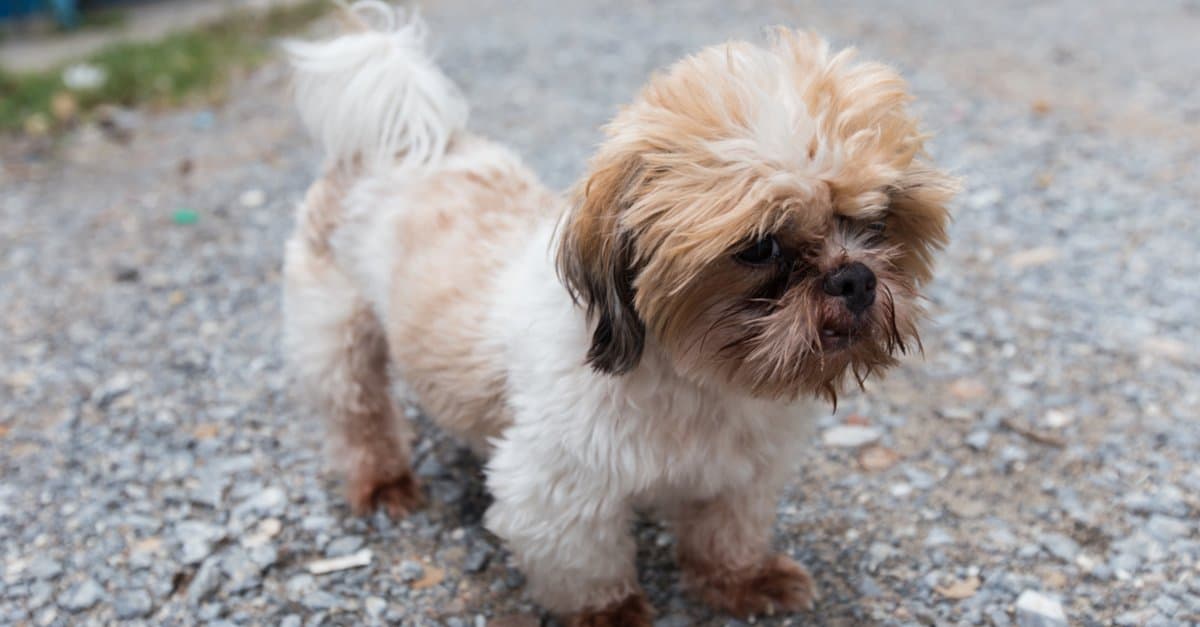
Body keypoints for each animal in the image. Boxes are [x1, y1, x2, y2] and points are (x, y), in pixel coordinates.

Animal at [280, 3, 955, 619]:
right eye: (761, 247)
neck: (698, 383)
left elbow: (725, 532)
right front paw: (613, 613)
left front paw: (741, 581)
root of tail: (394, 143)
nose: (854, 277)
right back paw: (383, 481)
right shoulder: (559, 491)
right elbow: (587, 564)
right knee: (357, 411)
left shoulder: (741, 473)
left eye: (877, 220)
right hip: (337, 333)